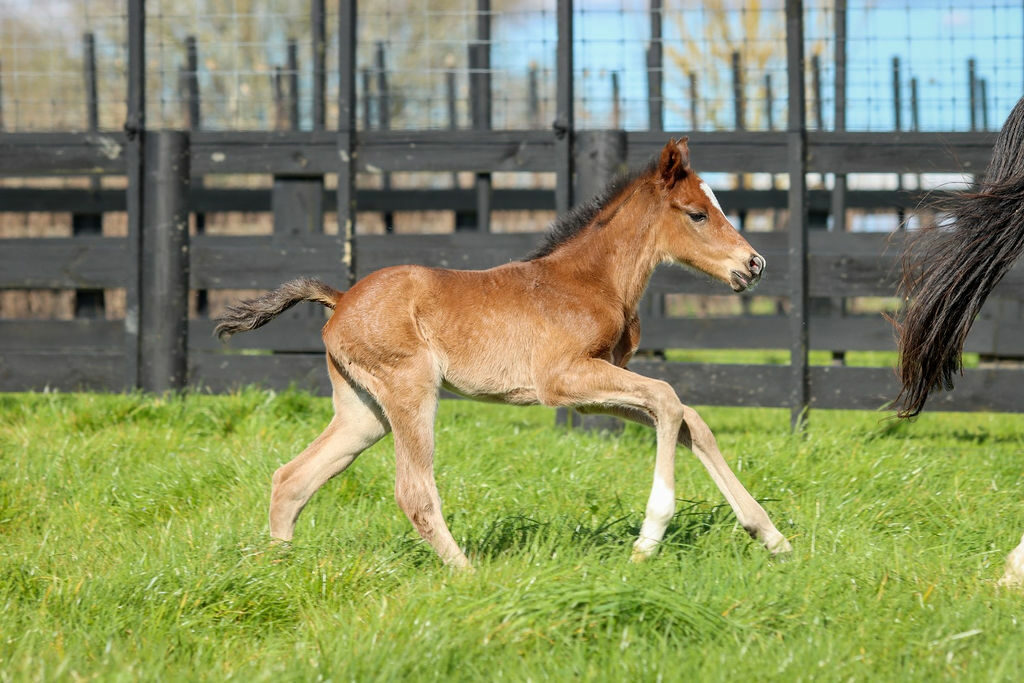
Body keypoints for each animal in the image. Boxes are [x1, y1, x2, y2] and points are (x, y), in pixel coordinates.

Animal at [216, 137, 790, 565]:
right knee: (413, 491)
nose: (755, 264)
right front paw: (649, 538)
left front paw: (771, 536)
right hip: (409, 390)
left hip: (363, 411)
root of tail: (341, 299)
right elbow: (671, 400)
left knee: (292, 478)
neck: (590, 280)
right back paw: (468, 576)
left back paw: (278, 571)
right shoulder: (561, 379)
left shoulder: (590, 391)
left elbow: (692, 420)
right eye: (697, 214)